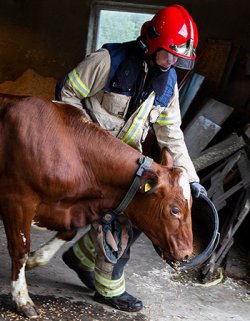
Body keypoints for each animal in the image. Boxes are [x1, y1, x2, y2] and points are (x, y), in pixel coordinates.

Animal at [0, 93, 192, 318]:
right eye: (174, 210)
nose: (187, 253)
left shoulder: (67, 210)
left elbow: (69, 233)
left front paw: (35, 259)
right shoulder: (18, 200)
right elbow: (20, 249)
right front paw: (22, 299)